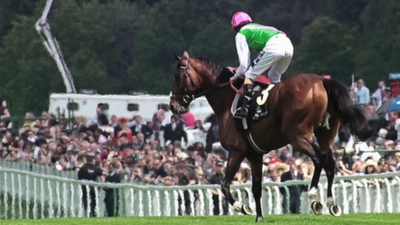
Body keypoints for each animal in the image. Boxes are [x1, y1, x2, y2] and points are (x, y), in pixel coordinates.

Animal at [168, 51, 372, 221]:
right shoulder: (255, 154)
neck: (227, 99)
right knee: (330, 162)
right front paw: (259, 217)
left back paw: (314, 195)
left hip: (297, 134)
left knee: (319, 157)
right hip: (325, 135)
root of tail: (322, 81)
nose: (172, 105)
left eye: (178, 76)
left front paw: (242, 207)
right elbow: (256, 187)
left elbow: (224, 184)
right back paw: (331, 203)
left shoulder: (236, 150)